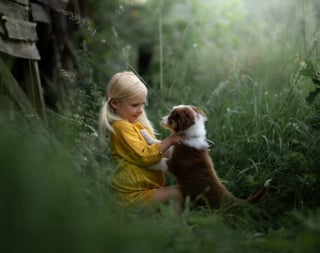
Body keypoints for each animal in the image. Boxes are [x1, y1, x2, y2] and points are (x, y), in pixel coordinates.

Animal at [144, 105, 272, 210]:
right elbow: (160, 144)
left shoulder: (177, 164)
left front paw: (148, 164)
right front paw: (146, 135)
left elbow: (161, 161)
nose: (161, 119)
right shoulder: (172, 149)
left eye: (172, 117)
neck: (190, 135)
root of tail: (232, 199)